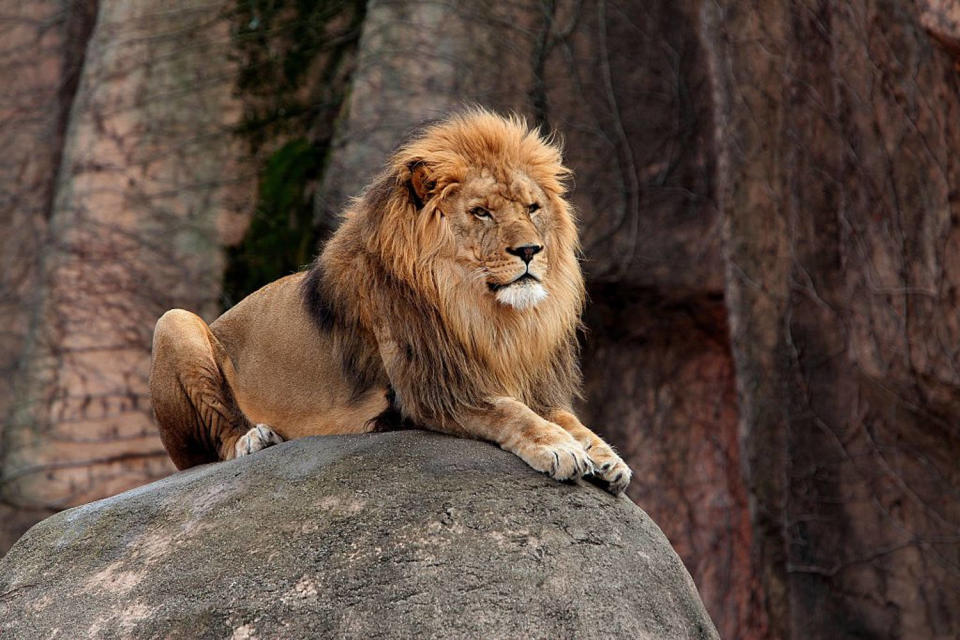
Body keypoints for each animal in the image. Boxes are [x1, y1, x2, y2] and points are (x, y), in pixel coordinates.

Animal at [148, 109, 632, 490]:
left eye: (532, 208)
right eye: (481, 212)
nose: (531, 250)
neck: (484, 314)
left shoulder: (524, 377)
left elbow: (565, 416)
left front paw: (604, 454)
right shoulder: (435, 391)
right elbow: (513, 413)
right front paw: (560, 448)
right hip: (174, 322)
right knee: (215, 447)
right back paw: (253, 439)